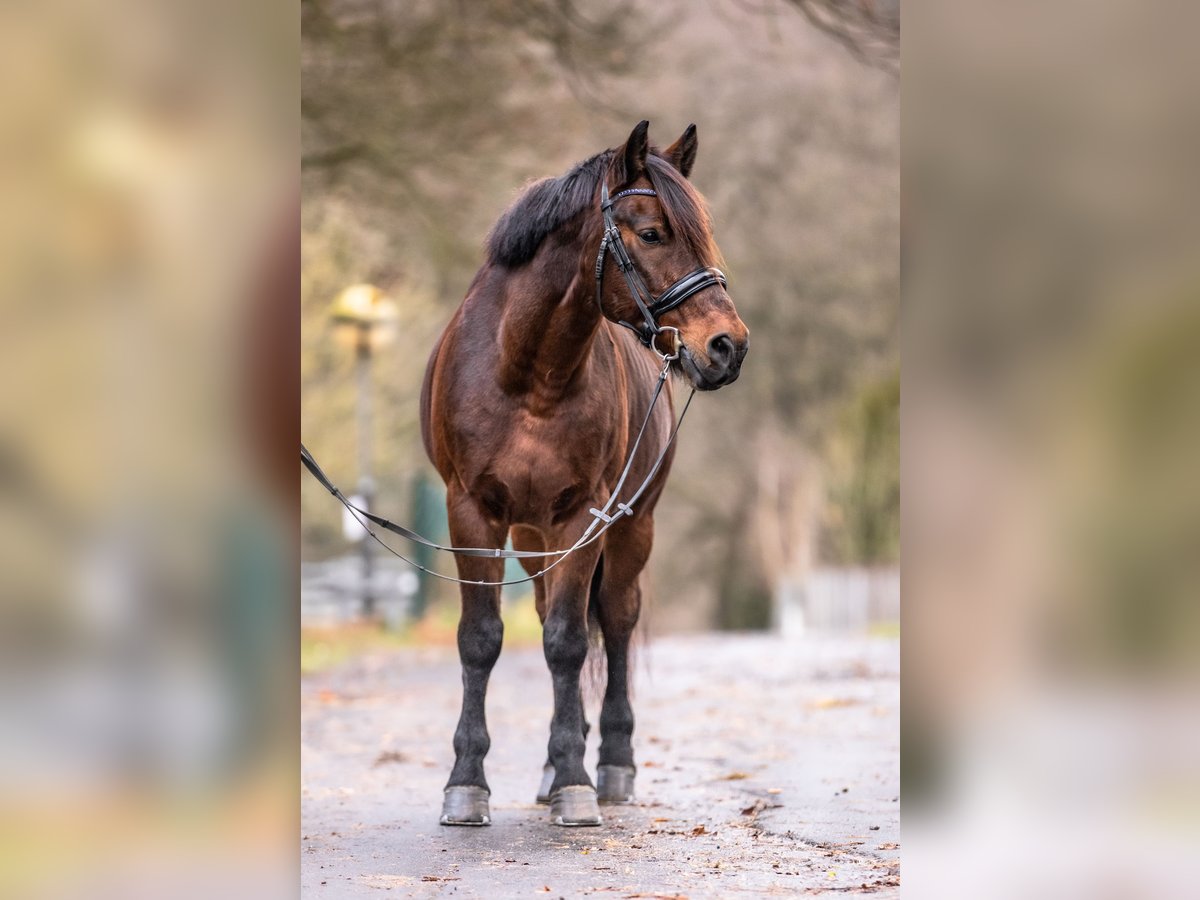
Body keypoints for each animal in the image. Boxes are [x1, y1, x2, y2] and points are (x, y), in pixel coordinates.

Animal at [417, 123, 744, 830]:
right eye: (651, 233)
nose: (729, 347)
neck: (527, 373)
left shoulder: (584, 515)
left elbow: (569, 642)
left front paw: (576, 781)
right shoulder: (472, 511)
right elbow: (481, 639)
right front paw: (467, 784)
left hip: (631, 527)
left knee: (615, 622)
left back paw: (613, 765)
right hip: (533, 536)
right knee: (549, 613)